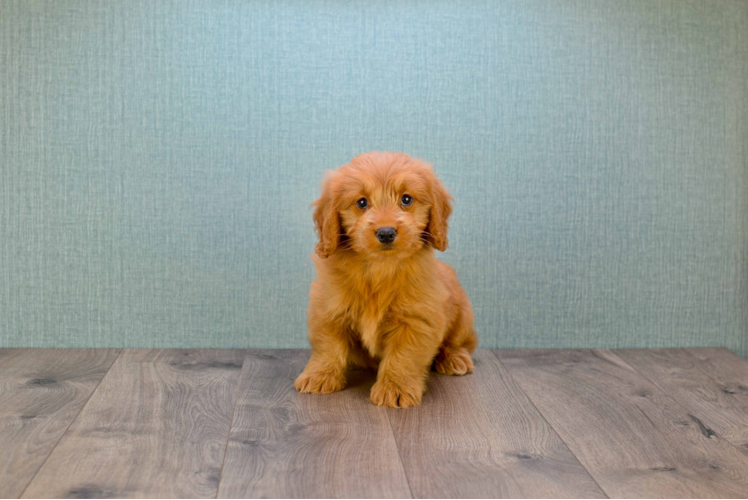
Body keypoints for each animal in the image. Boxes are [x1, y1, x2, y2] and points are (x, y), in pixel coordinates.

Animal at [296, 151, 476, 406]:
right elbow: (327, 346)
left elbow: (404, 356)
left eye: (407, 199)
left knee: (463, 342)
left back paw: (454, 358)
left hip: (463, 315)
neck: (379, 268)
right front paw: (319, 376)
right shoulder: (327, 309)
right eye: (362, 202)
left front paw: (395, 388)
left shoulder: (416, 320)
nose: (386, 232)